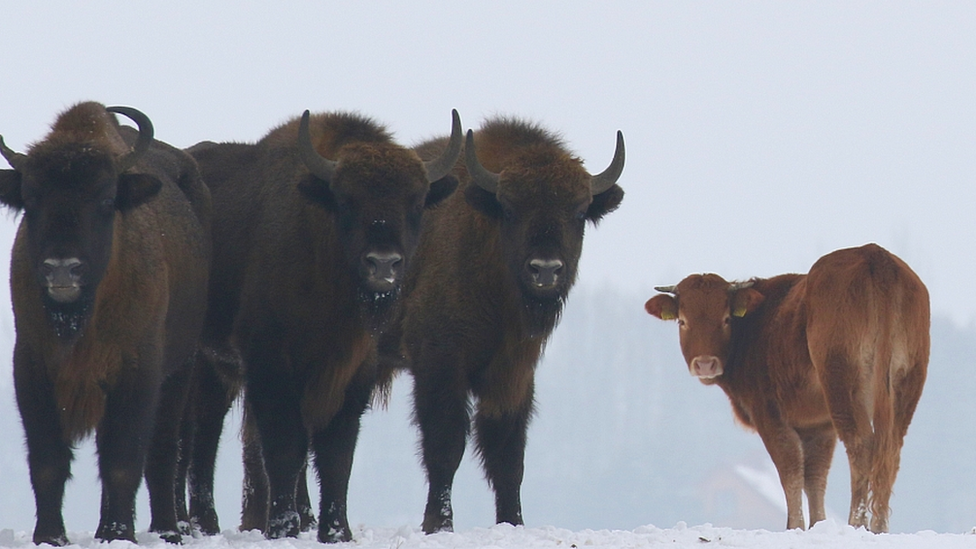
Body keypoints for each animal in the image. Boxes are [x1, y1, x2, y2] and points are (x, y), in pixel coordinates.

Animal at [0, 103, 212, 544]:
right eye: (31, 198)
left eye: (105, 198)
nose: (62, 269)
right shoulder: (32, 365)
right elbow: (48, 460)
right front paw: (50, 536)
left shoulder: (138, 370)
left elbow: (123, 460)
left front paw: (120, 534)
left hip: (180, 370)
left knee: (163, 452)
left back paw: (166, 529)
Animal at [184, 109, 466, 540]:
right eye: (347, 200)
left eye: (416, 202)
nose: (383, 264)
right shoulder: (271, 364)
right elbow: (285, 445)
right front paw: (283, 527)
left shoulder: (353, 371)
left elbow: (336, 453)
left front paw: (337, 531)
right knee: (194, 435)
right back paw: (193, 524)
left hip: (217, 369)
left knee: (203, 432)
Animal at [382, 117, 624, 532]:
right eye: (510, 210)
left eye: (578, 212)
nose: (545, 270)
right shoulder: (439, 362)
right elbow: (446, 444)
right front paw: (438, 525)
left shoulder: (514, 372)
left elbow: (507, 456)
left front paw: (513, 523)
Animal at [644, 243, 928, 532]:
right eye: (682, 321)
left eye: (725, 319)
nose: (705, 364)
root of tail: (873, 255)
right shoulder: (819, 426)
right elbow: (814, 476)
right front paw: (817, 524)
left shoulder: (770, 414)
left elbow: (790, 469)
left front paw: (795, 526)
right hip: (907, 384)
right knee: (891, 449)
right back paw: (880, 527)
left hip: (842, 382)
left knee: (860, 445)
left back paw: (856, 524)